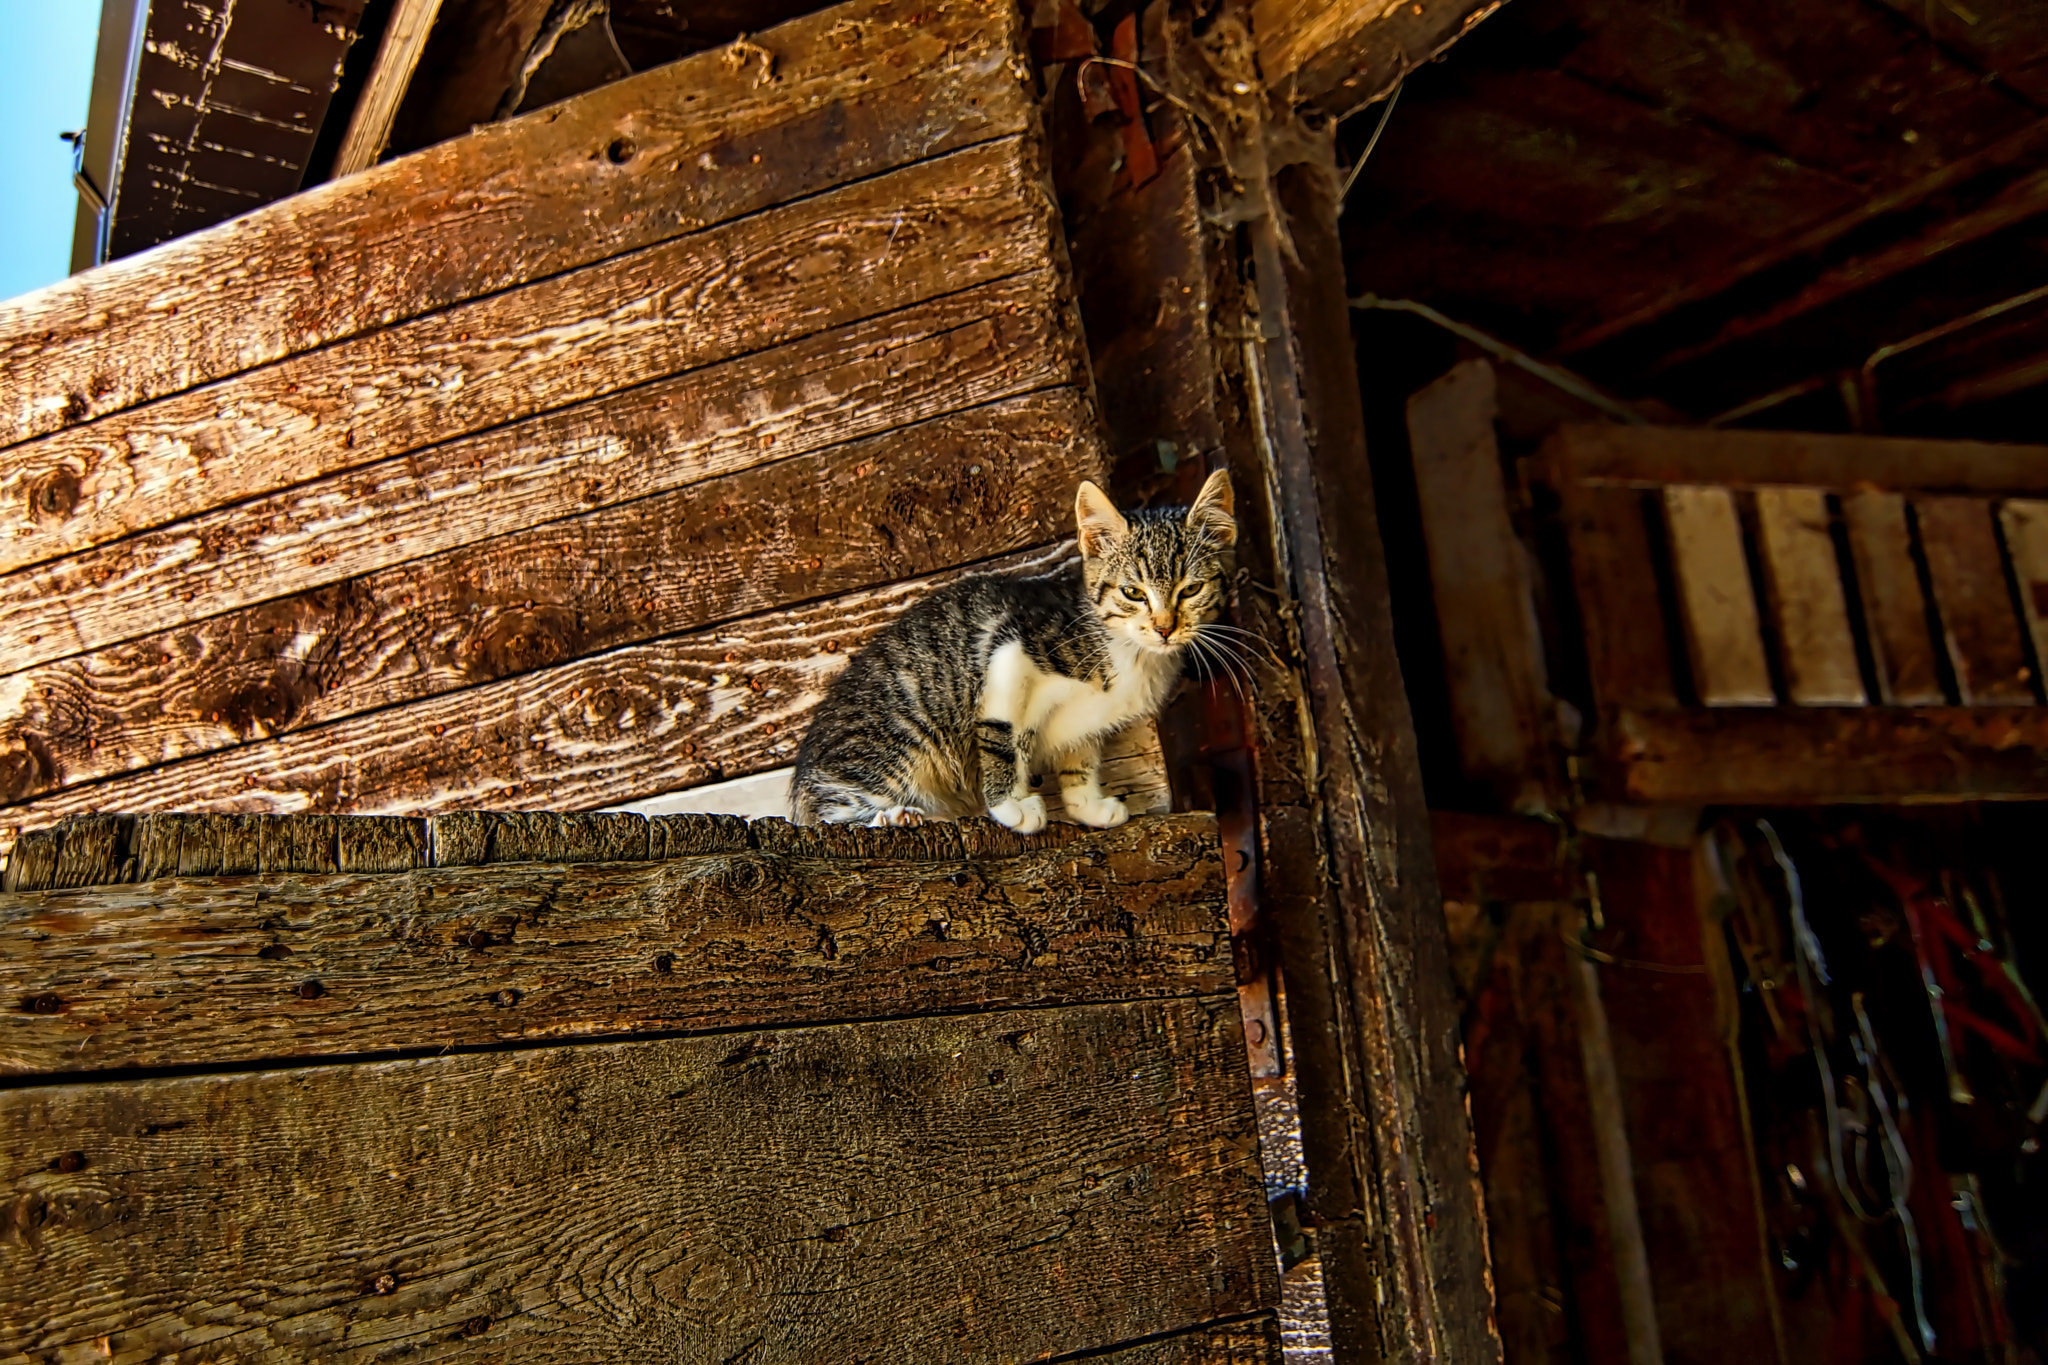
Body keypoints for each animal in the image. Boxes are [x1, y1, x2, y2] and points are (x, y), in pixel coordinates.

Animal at [782, 470, 1228, 834]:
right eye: (1133, 592)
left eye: (1191, 589)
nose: (1165, 628)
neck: (1128, 649)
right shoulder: (1009, 647)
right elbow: (1000, 735)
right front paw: (1010, 806)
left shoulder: (1084, 724)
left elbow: (1081, 758)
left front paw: (1088, 805)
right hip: (893, 749)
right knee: (832, 817)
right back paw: (893, 816)